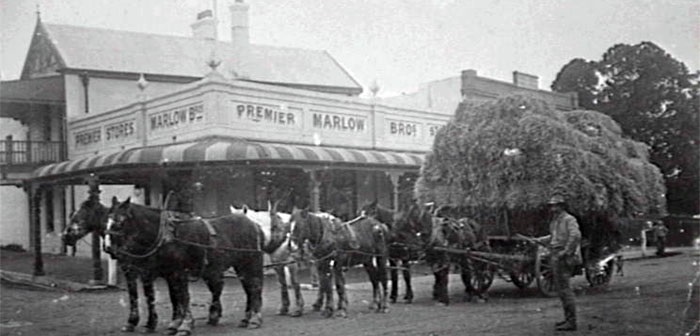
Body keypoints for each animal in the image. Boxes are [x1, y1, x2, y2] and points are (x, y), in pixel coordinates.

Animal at [107, 197, 268, 336]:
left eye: (120, 221)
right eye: (107, 220)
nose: (109, 249)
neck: (167, 237)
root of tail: (253, 224)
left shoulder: (177, 273)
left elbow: (183, 297)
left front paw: (184, 325)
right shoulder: (166, 274)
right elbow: (173, 297)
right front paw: (174, 324)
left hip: (250, 263)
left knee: (255, 287)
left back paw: (255, 319)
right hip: (237, 267)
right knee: (247, 289)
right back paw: (244, 318)